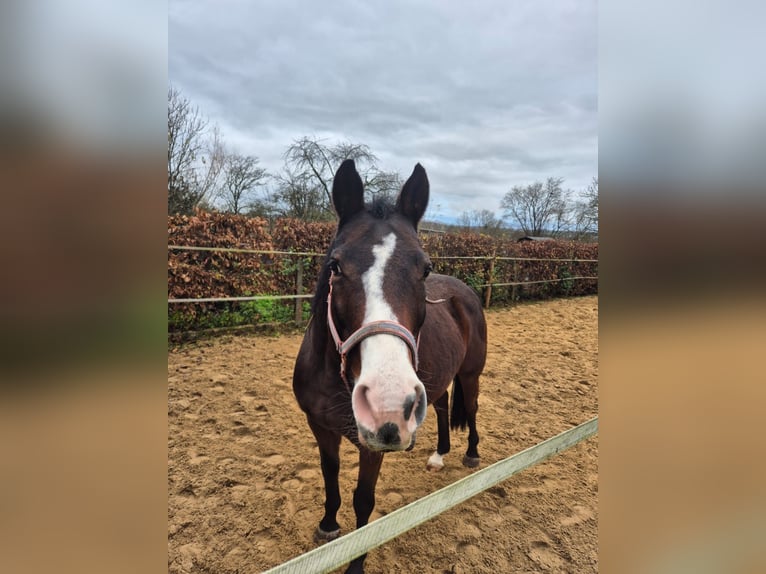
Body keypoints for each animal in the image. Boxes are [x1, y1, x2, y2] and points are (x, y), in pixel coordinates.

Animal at [292, 160, 486, 572]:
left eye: (425, 269)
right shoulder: (320, 426)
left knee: (473, 408)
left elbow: (363, 500)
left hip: (470, 374)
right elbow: (330, 477)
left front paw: (354, 563)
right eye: (336, 265)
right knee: (442, 406)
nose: (389, 401)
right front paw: (328, 526)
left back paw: (471, 454)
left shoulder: (373, 444)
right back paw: (439, 454)